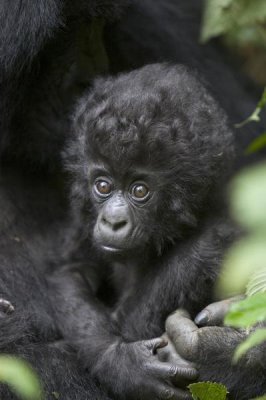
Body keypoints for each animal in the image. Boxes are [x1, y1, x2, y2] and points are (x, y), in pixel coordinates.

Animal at [51, 64, 236, 398]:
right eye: (102, 185)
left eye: (139, 191)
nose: (113, 221)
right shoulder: (83, 221)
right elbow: (70, 273)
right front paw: (118, 360)